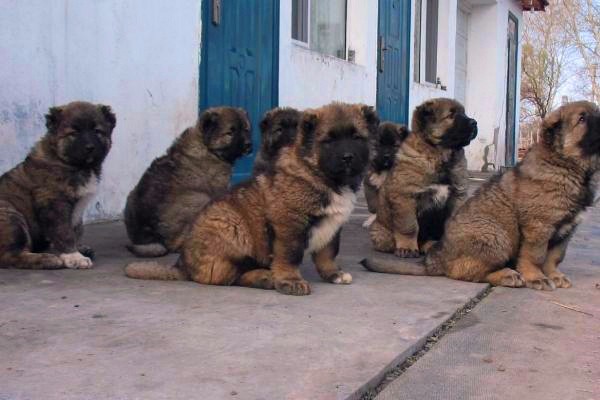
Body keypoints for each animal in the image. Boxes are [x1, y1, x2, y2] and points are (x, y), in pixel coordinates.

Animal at [0, 101, 116, 268]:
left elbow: (75, 230)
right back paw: (47, 259)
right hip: (10, 214)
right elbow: (64, 232)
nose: (90, 147)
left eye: (97, 131)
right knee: (9, 256)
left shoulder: (75, 210)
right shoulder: (54, 203)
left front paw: (75, 250)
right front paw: (74, 256)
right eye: (74, 133)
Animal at [124, 106, 251, 256]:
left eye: (246, 130)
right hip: (199, 198)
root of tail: (152, 235)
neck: (206, 146)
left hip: (131, 195)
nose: (248, 145)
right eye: (230, 133)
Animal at [370, 98, 478, 258]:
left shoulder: (457, 196)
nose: (474, 123)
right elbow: (409, 226)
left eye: (464, 113)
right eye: (451, 115)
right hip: (380, 231)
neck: (440, 154)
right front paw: (407, 247)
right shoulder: (405, 196)